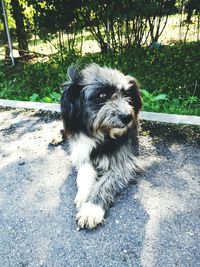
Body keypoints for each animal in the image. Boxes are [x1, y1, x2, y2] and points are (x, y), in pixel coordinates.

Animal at [60, 63, 142, 230]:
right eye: (102, 96)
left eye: (127, 94)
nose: (127, 117)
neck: (102, 135)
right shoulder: (82, 152)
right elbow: (84, 173)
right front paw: (84, 193)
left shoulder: (123, 164)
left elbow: (105, 183)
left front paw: (91, 209)